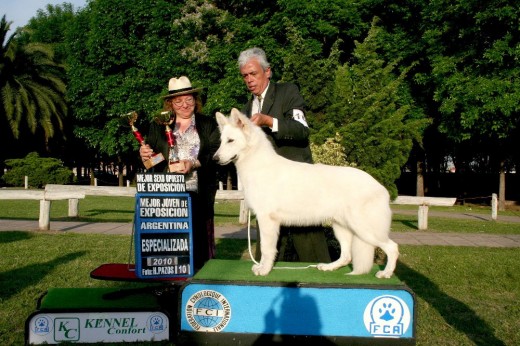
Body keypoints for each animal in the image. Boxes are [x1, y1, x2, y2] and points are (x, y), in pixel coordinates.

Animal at [213, 108, 400, 278]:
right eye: (221, 141)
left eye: (231, 141)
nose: (214, 159)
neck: (257, 163)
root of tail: (380, 187)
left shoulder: (267, 220)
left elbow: (267, 249)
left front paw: (264, 270)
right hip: (341, 227)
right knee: (346, 256)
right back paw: (329, 267)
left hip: (364, 228)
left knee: (393, 248)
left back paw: (386, 273)